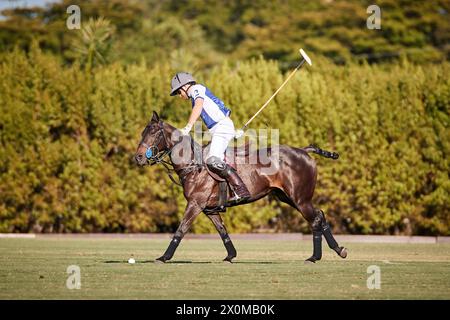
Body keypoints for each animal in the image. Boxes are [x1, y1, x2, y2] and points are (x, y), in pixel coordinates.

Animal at [134, 111, 348, 264]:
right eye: (143, 132)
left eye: (153, 133)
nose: (138, 158)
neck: (193, 164)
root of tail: (304, 151)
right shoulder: (209, 209)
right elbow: (222, 231)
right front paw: (231, 255)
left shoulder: (195, 204)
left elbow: (181, 229)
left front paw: (163, 257)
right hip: (287, 197)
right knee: (320, 214)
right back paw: (339, 250)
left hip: (300, 198)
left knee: (315, 219)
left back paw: (314, 257)